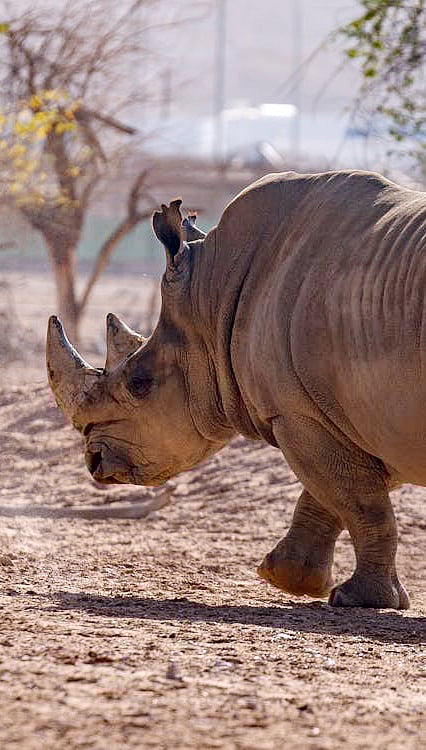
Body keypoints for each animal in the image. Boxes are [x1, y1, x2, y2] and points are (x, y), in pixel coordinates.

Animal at [47, 169, 426, 610]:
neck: (214, 297)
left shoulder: (304, 412)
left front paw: (360, 599)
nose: (95, 461)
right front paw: (286, 577)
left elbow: (358, 502)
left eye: (140, 384)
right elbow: (339, 495)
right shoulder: (359, 416)